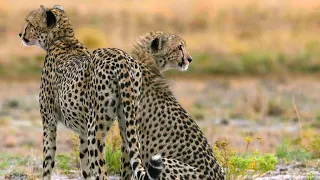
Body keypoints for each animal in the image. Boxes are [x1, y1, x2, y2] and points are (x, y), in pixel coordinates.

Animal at [18, 4, 161, 179]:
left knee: (102, 171)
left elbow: (47, 161)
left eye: (29, 23)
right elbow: (85, 166)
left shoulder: (49, 121)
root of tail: (122, 59)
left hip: (96, 131)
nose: (21, 34)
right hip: (128, 124)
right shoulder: (83, 132)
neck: (63, 38)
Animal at [115, 31, 225, 179]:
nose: (190, 59)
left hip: (164, 163)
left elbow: (126, 169)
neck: (147, 61)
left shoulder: (129, 136)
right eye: (179, 47)